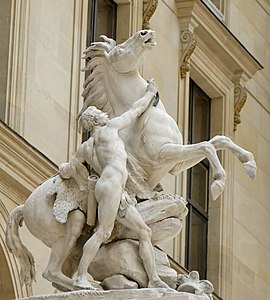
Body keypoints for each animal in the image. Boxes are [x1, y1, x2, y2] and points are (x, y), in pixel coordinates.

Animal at [79, 29, 256, 200]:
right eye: (120, 50)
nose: (145, 32)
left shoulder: (176, 166)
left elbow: (218, 140)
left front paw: (249, 163)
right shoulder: (163, 153)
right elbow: (206, 146)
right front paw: (218, 182)